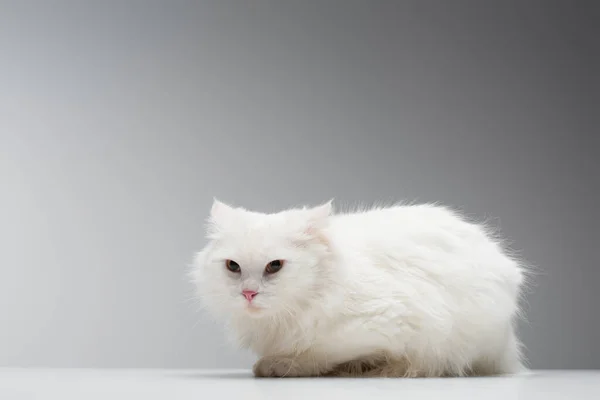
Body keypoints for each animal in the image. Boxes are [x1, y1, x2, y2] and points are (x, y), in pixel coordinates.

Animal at [191, 200, 524, 378]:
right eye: (233, 266)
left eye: (275, 266)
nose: (248, 293)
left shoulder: (386, 322)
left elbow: (316, 352)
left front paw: (278, 365)